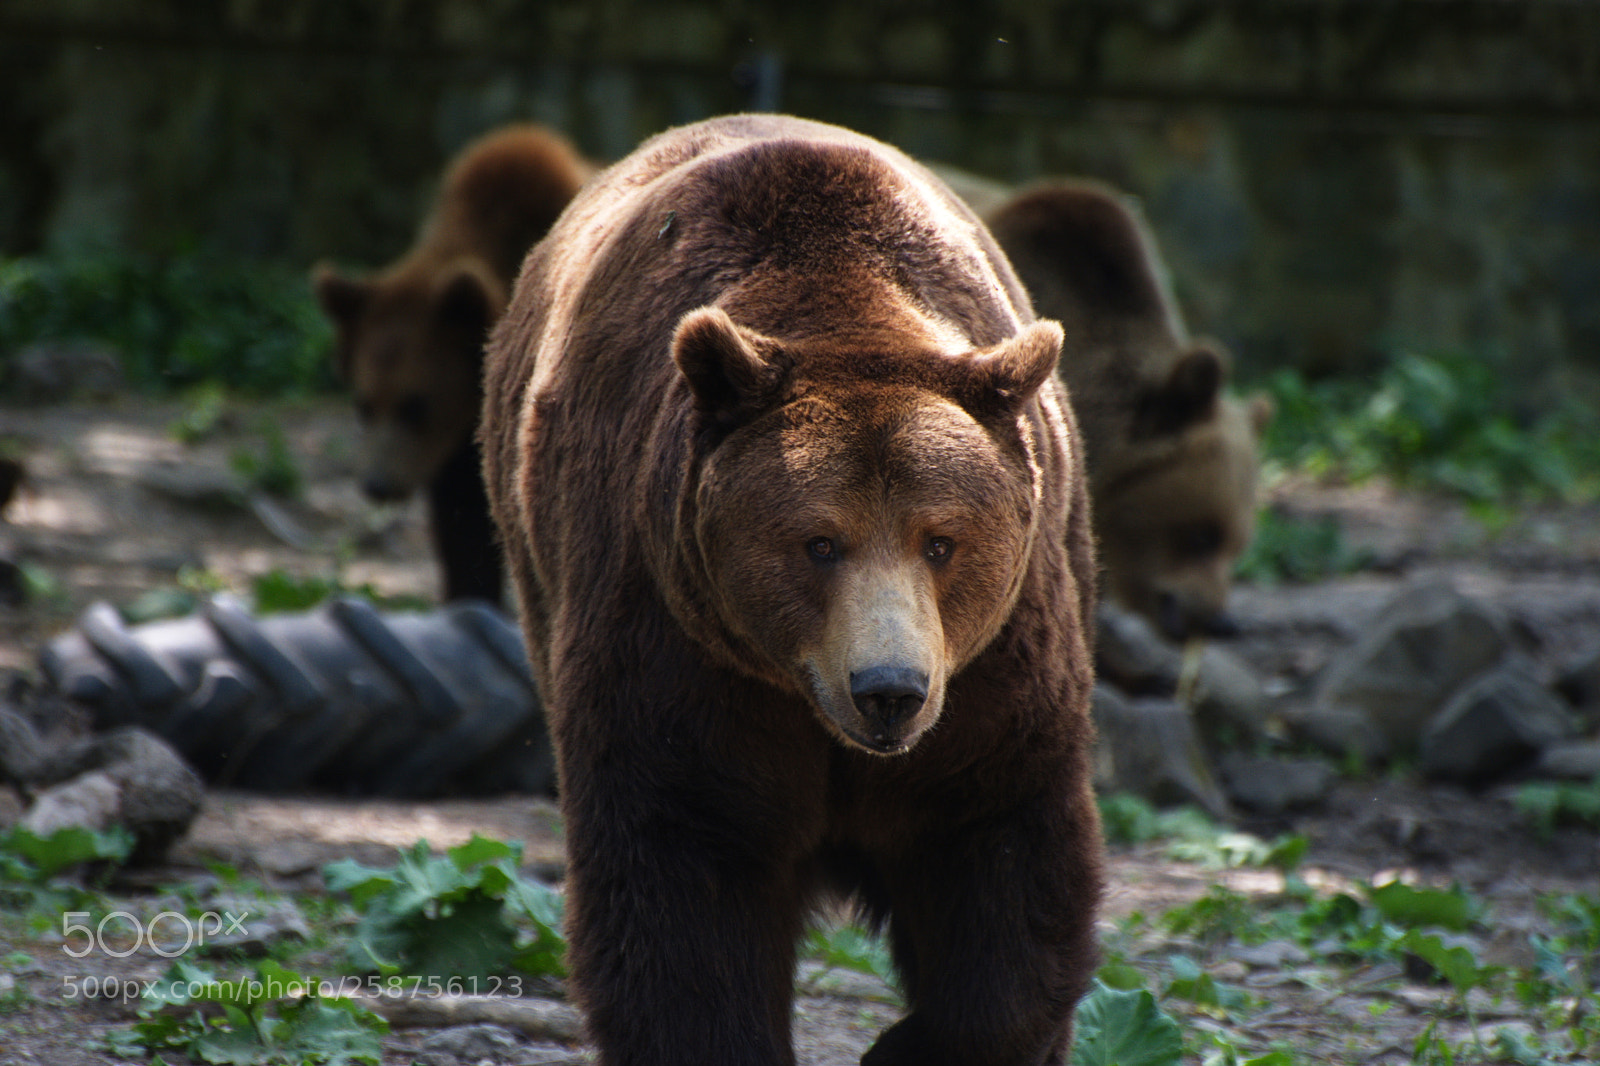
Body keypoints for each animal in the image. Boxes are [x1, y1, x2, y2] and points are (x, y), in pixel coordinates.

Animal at [481, 114, 1104, 1066]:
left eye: (941, 541)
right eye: (818, 542)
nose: (889, 690)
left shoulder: (993, 670)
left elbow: (1003, 861)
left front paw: (907, 1046)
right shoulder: (679, 646)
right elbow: (685, 878)